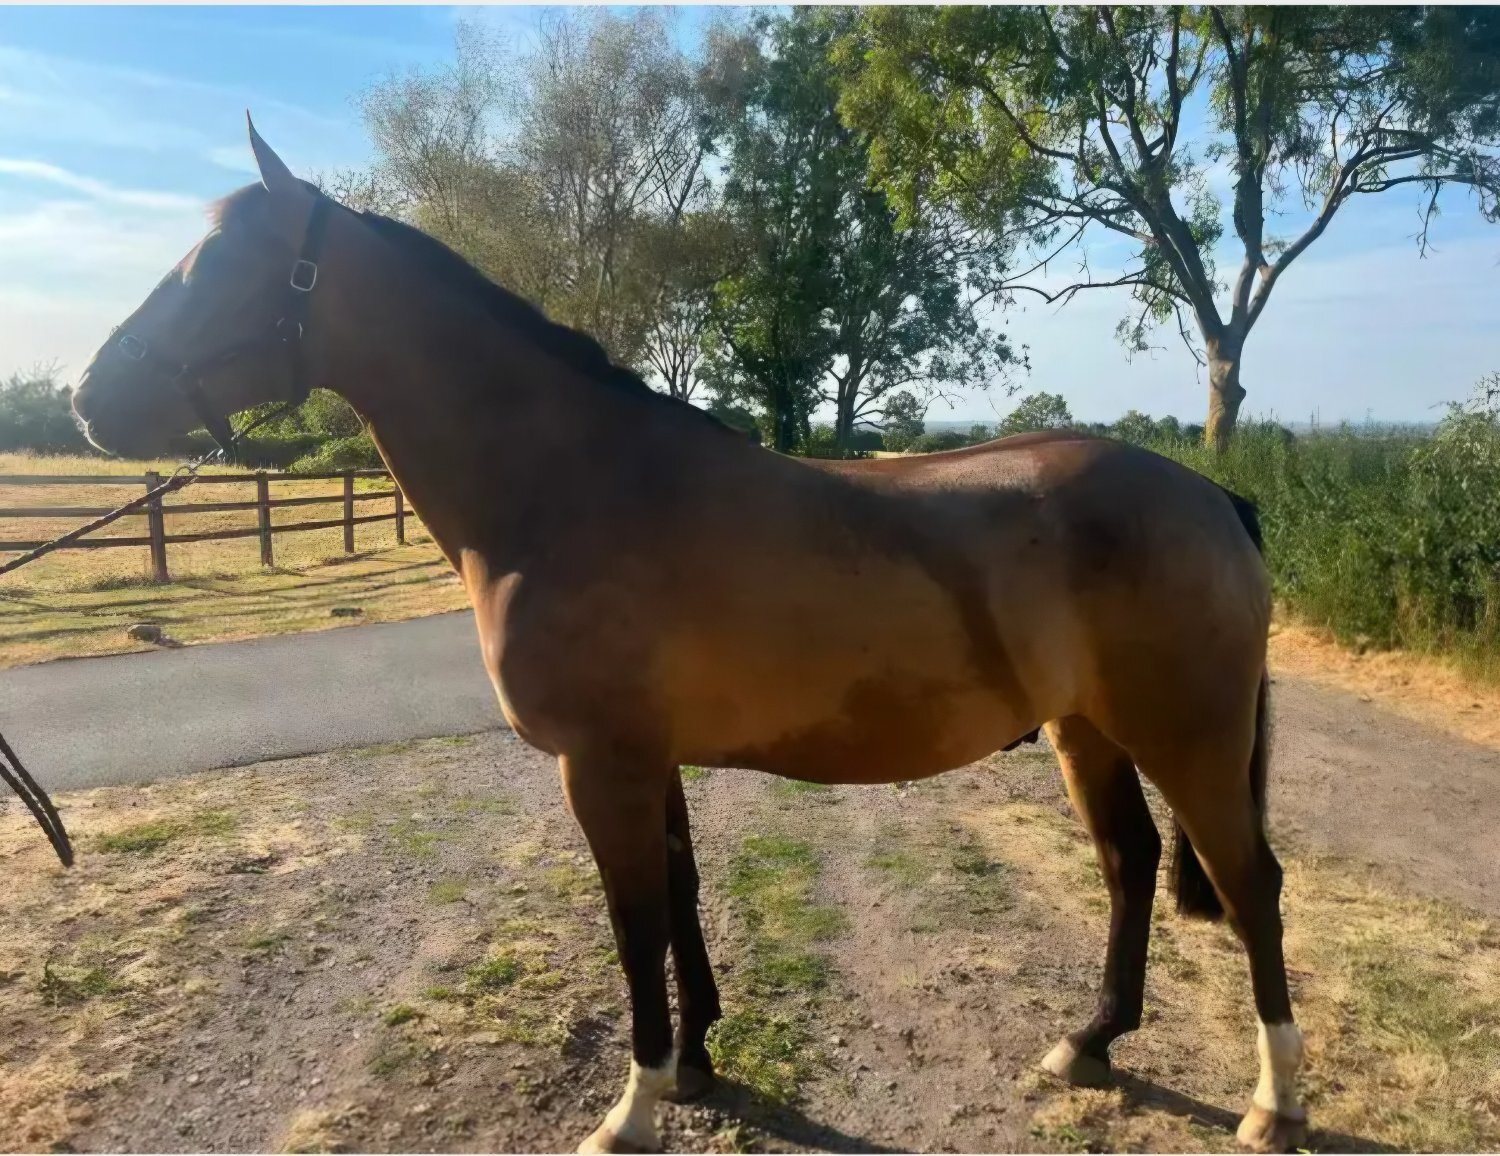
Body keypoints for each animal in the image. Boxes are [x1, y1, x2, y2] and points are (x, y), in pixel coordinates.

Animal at [70, 117, 1306, 1154]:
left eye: (218, 266)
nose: (88, 399)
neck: (570, 487)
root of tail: (1210, 495)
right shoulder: (646, 758)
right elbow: (681, 892)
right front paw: (702, 1059)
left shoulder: (599, 765)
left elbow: (634, 922)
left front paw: (635, 1102)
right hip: (1087, 730)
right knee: (1130, 862)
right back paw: (1089, 1042)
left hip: (1187, 738)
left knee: (1250, 881)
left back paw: (1273, 1102)